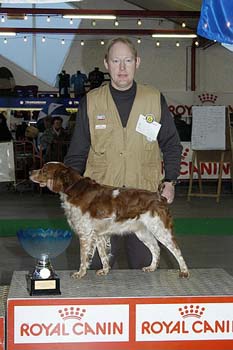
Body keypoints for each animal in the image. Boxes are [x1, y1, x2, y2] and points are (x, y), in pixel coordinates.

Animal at [30, 161, 189, 278]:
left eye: (43, 170)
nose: (30, 172)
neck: (73, 189)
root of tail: (159, 197)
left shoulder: (85, 234)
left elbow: (83, 257)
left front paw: (80, 273)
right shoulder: (98, 235)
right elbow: (103, 255)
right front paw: (104, 270)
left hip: (160, 229)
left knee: (176, 249)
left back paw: (184, 271)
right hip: (143, 232)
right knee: (156, 248)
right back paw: (151, 267)